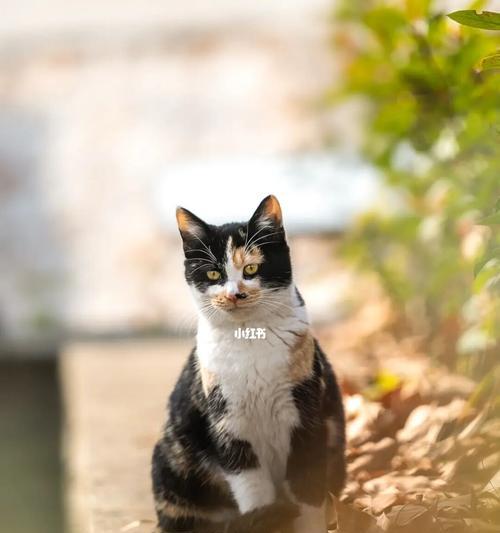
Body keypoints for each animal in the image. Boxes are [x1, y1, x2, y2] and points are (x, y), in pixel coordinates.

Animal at [150, 195, 346, 532]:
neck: (250, 338)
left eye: (252, 268)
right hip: (169, 464)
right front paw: (266, 516)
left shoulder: (307, 418)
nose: (234, 294)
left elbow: (307, 490)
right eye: (213, 275)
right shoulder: (229, 426)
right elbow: (253, 491)